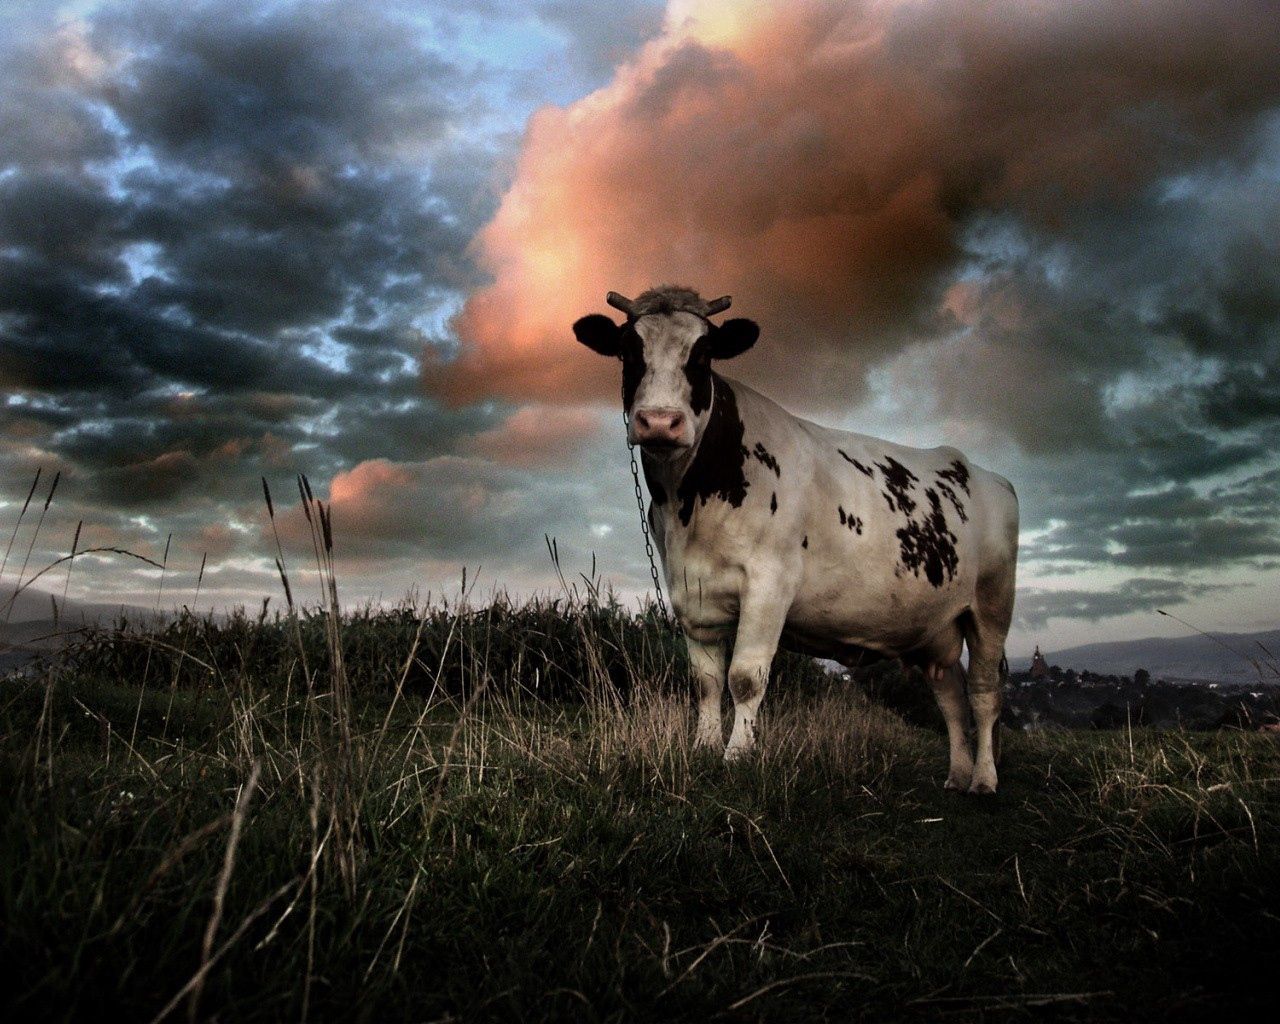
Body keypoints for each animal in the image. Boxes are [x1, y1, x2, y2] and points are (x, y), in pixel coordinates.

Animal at [576, 284, 1024, 793]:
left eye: (704, 353)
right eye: (628, 351)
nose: (658, 422)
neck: (688, 505)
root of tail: (987, 475)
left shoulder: (770, 582)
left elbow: (745, 678)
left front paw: (736, 756)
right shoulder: (691, 592)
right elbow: (706, 681)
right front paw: (704, 748)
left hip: (992, 604)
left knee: (984, 694)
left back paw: (984, 778)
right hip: (934, 628)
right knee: (950, 698)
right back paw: (956, 774)